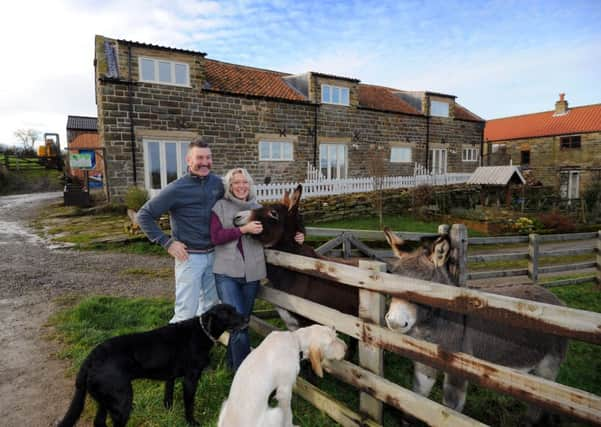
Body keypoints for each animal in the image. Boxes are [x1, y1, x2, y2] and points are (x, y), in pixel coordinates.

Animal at [56, 304, 244, 427]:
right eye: (227, 314)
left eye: (235, 309)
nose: (247, 318)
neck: (203, 330)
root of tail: (90, 358)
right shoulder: (190, 379)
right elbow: (189, 404)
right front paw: (191, 422)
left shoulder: (171, 377)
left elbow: (168, 395)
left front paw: (168, 410)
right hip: (122, 400)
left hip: (104, 400)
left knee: (98, 422)